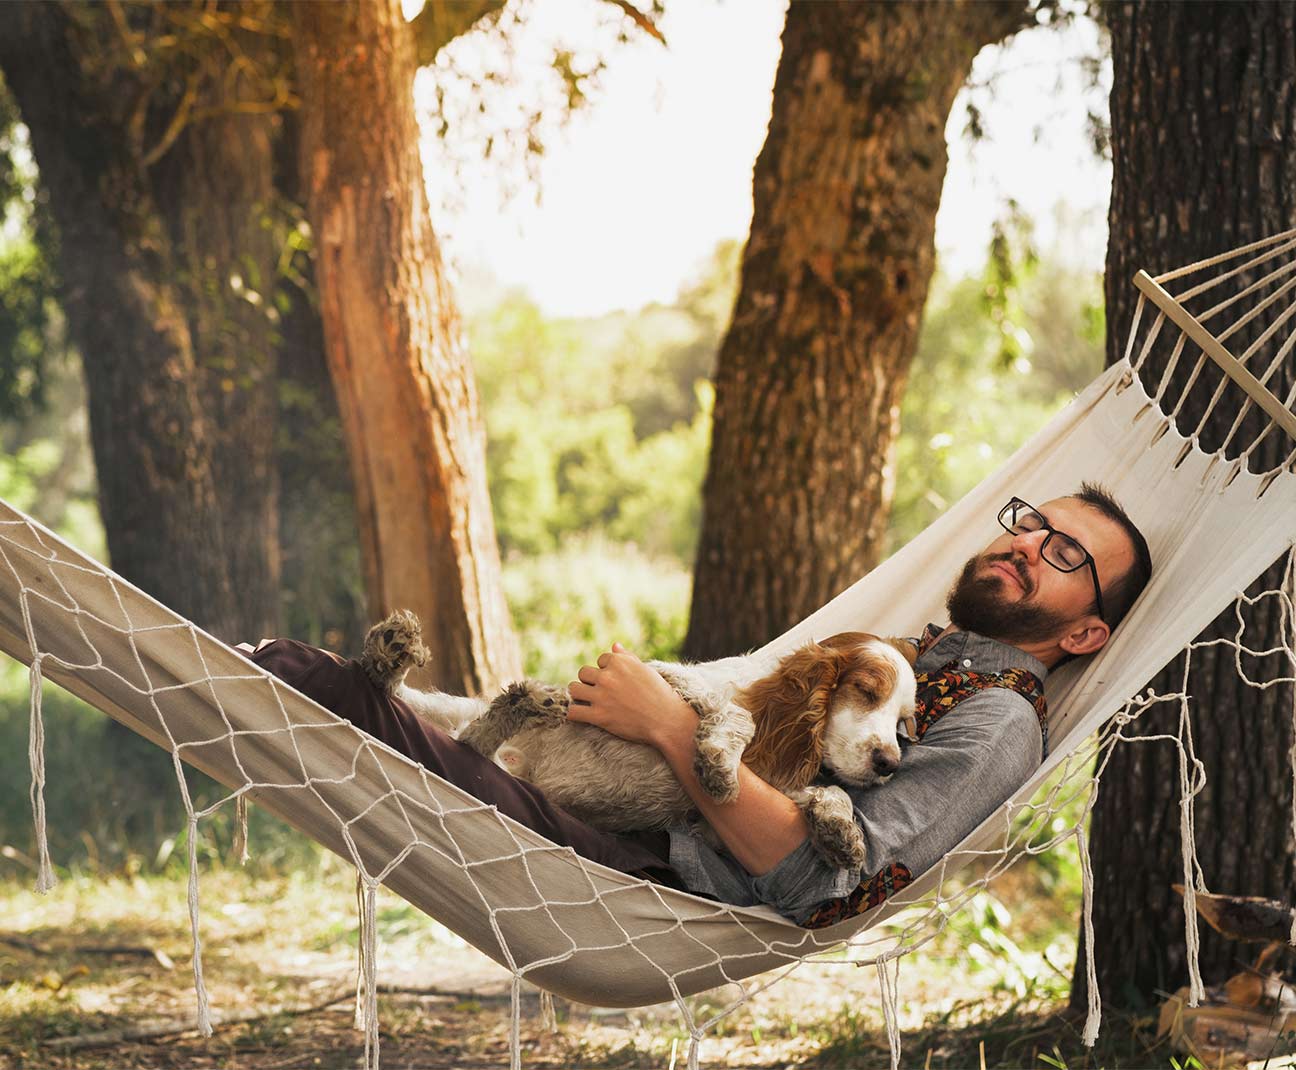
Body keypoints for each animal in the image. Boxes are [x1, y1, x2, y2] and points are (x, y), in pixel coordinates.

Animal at [360, 608, 917, 865]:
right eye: (867, 691)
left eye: (903, 723)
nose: (890, 764)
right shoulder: (668, 676)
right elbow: (734, 717)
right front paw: (719, 764)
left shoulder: (713, 830)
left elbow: (831, 791)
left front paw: (840, 832)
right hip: (444, 711)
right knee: (393, 691)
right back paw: (392, 649)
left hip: (471, 740)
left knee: (471, 739)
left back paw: (526, 701)